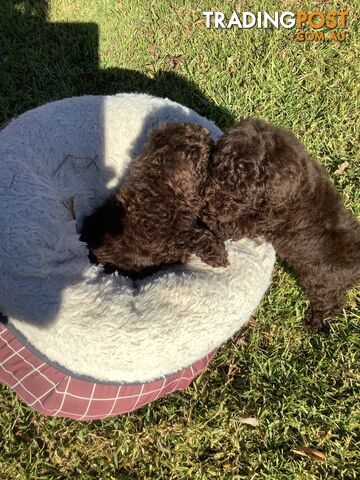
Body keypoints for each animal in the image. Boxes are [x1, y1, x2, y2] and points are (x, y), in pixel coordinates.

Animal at [202, 118, 360, 330]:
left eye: (244, 193)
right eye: (217, 174)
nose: (214, 204)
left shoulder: (256, 223)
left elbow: (222, 225)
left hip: (321, 283)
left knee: (331, 302)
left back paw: (317, 322)